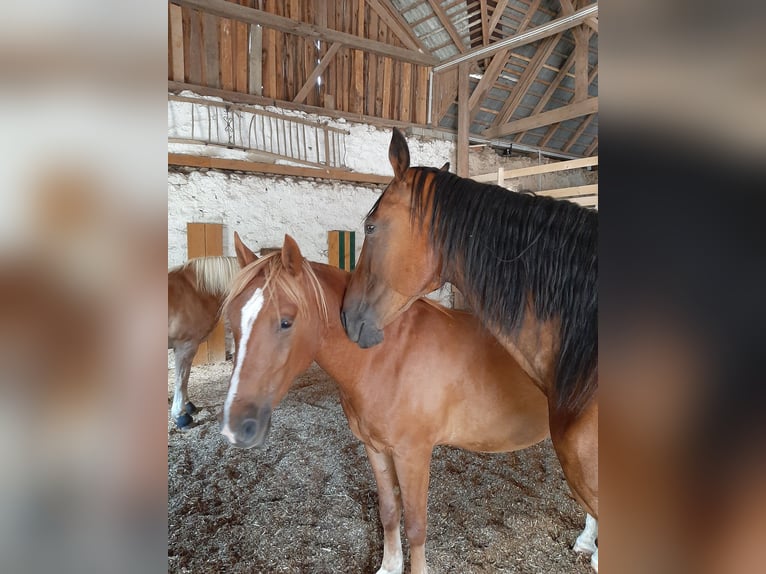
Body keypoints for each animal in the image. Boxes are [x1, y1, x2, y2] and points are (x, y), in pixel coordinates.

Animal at [220, 234, 600, 574]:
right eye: (233, 319)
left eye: (286, 321)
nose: (236, 427)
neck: (386, 356)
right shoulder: (375, 448)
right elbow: (390, 512)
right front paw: (388, 566)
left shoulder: (413, 454)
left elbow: (416, 525)